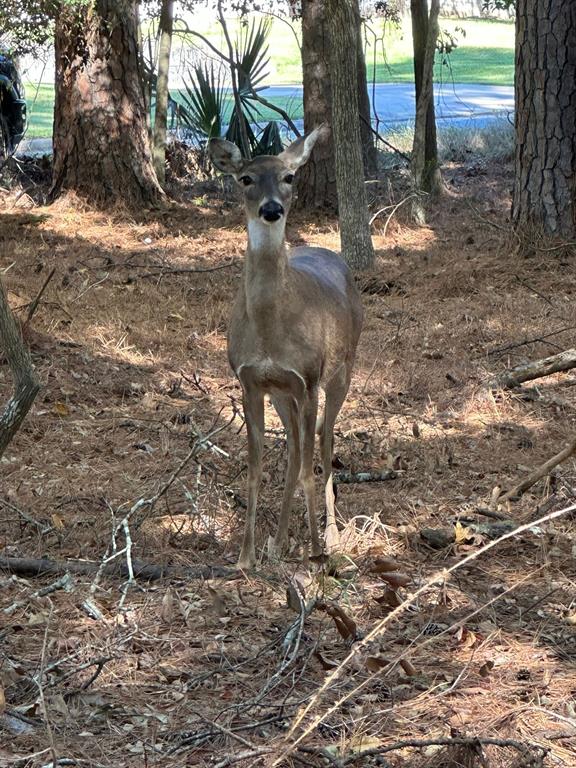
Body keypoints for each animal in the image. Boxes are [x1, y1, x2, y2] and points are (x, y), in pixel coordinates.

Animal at [210, 127, 364, 568]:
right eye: (245, 178)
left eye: (289, 177)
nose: (272, 209)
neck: (269, 331)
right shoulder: (251, 382)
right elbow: (256, 467)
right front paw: (246, 557)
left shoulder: (308, 379)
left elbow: (312, 465)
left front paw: (316, 552)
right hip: (284, 395)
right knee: (296, 449)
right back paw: (278, 541)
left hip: (341, 371)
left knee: (325, 442)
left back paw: (329, 535)